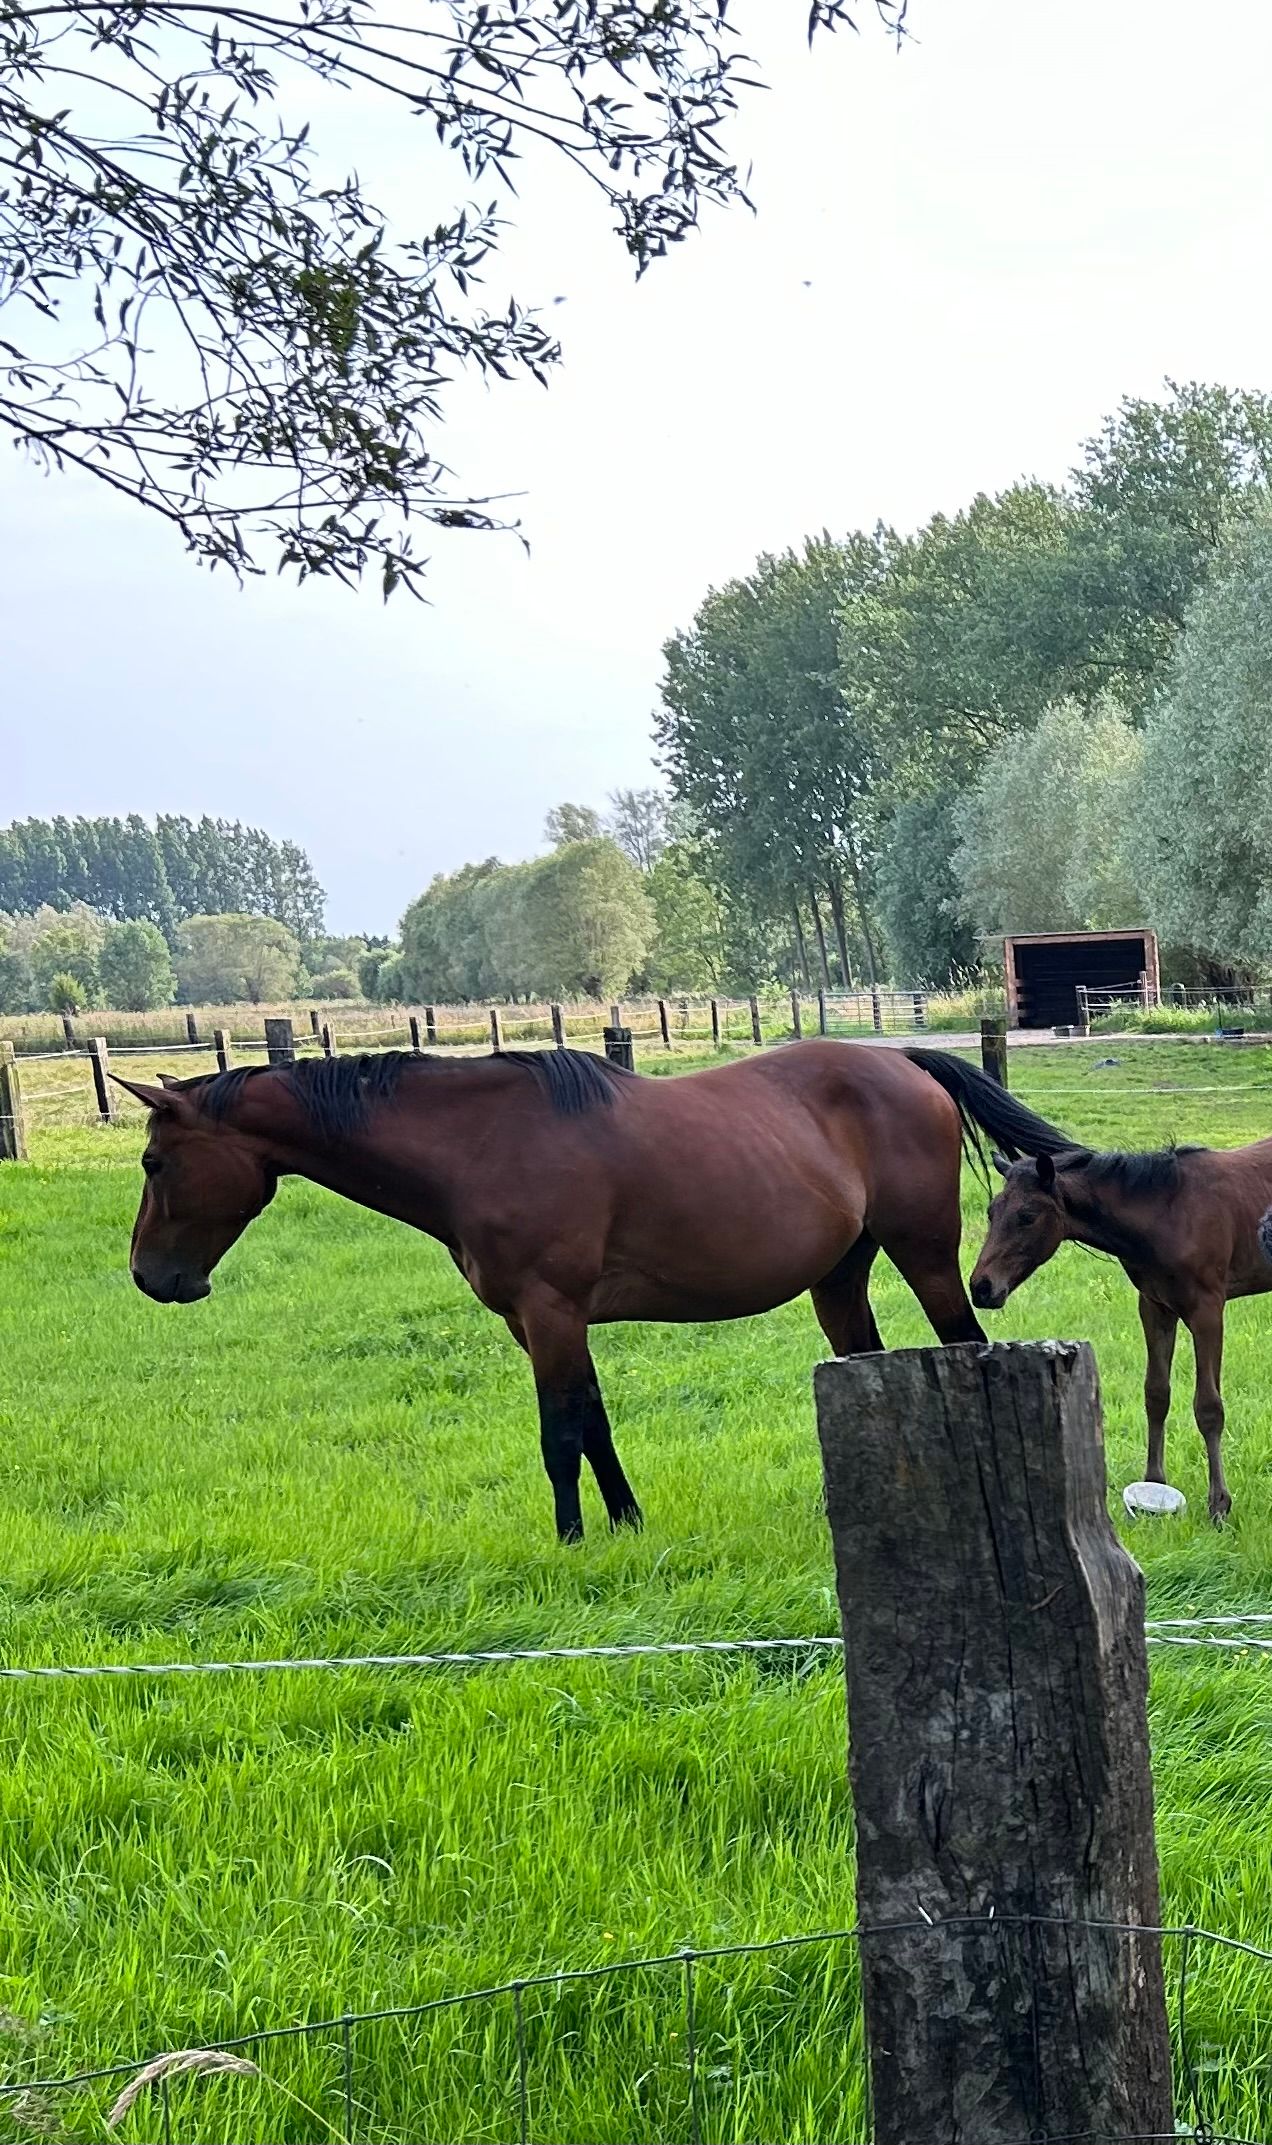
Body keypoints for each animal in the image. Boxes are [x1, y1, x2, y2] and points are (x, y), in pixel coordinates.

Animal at [118, 1040, 1071, 1542]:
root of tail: (901, 1058)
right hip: (838, 1276)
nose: (149, 1277)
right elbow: (594, 1419)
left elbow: (558, 1433)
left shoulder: (550, 1311)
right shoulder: (540, 1320)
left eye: (155, 1161)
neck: (478, 1142)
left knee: (963, 1341)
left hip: (927, 1254)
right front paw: (625, 1524)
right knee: (866, 1362)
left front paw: (571, 1538)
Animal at [969, 1138, 1272, 1522]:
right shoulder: (1155, 1307)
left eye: (1027, 1216)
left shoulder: (1207, 1310)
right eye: (992, 1212)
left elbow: (1208, 1407)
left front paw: (1218, 1505)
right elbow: (1156, 1394)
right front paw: (1154, 1484)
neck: (1169, 1212)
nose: (981, 1287)